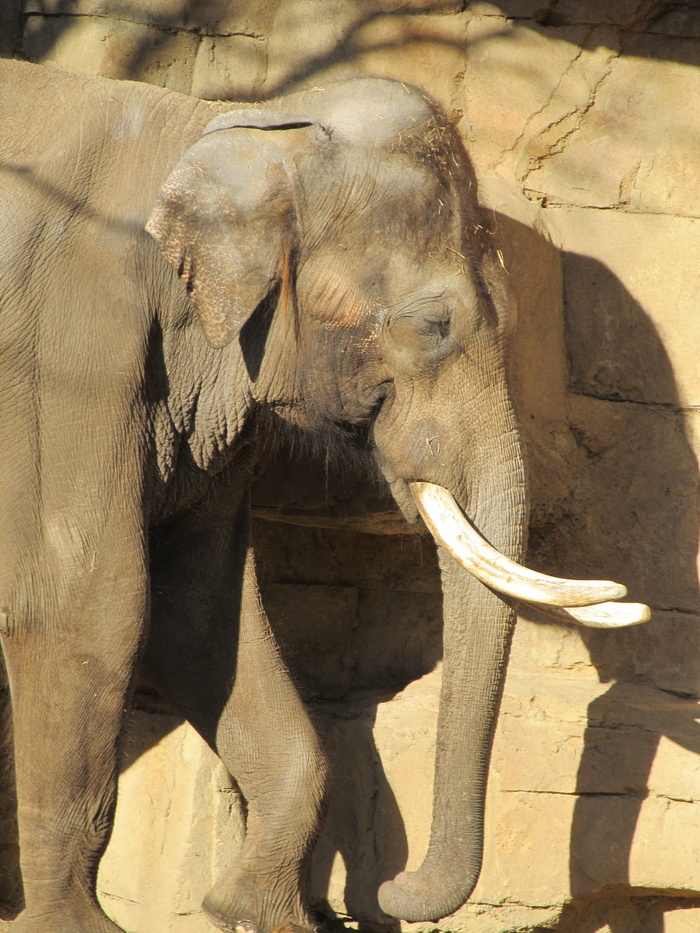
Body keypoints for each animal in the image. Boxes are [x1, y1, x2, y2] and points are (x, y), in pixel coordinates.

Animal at [0, 60, 648, 932]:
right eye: (434, 326)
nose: (389, 890)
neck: (237, 124)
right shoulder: (70, 349)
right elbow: (90, 597)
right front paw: (77, 927)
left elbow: (203, 610)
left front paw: (251, 911)